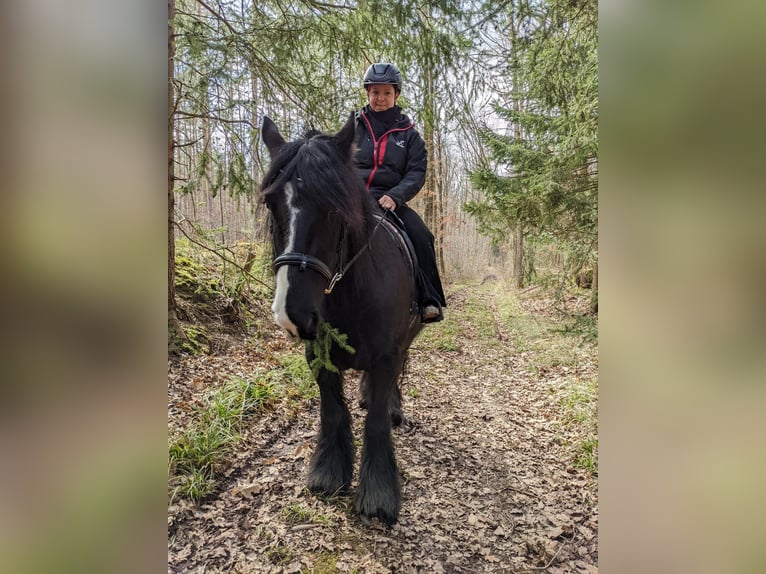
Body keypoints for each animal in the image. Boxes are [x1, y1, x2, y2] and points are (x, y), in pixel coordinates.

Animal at [260, 114, 423, 525]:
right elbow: (333, 410)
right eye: (271, 203)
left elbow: (376, 420)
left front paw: (379, 494)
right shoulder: (318, 354)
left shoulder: (387, 356)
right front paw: (329, 474)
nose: (292, 313)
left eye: (334, 207)